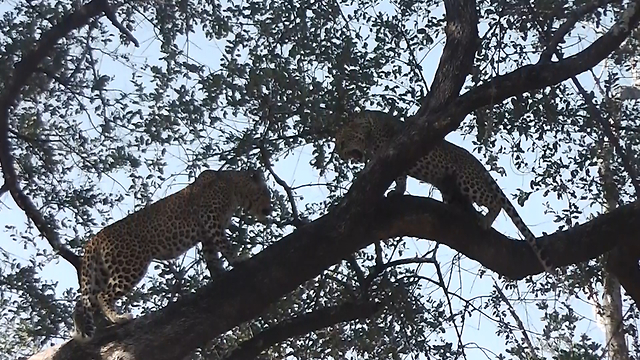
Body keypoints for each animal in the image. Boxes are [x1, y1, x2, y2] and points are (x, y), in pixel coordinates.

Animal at [71, 169, 274, 344]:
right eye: (267, 194)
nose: (270, 210)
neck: (233, 187)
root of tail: (94, 239)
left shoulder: (207, 235)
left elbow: (212, 258)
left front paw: (219, 274)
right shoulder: (211, 221)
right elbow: (225, 245)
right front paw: (237, 259)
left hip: (99, 274)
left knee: (82, 303)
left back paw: (80, 333)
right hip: (130, 266)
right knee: (103, 296)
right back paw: (119, 318)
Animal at [336, 108, 556, 274]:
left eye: (342, 141)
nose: (340, 155)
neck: (370, 128)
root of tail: (475, 162)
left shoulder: (395, 157)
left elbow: (399, 178)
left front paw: (397, 192)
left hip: (468, 181)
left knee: (495, 201)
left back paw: (485, 220)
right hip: (451, 188)